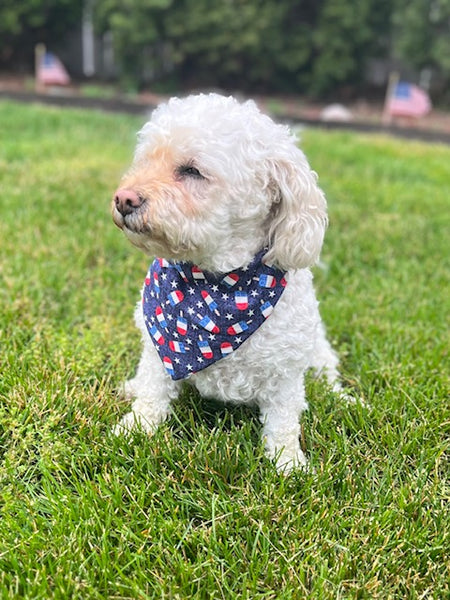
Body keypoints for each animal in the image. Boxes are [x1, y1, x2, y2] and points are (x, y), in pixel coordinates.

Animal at [110, 94, 342, 472]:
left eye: (192, 171)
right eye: (146, 160)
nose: (123, 199)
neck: (215, 285)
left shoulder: (286, 374)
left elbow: (283, 421)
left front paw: (289, 463)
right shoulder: (157, 350)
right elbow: (152, 392)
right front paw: (135, 429)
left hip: (318, 353)